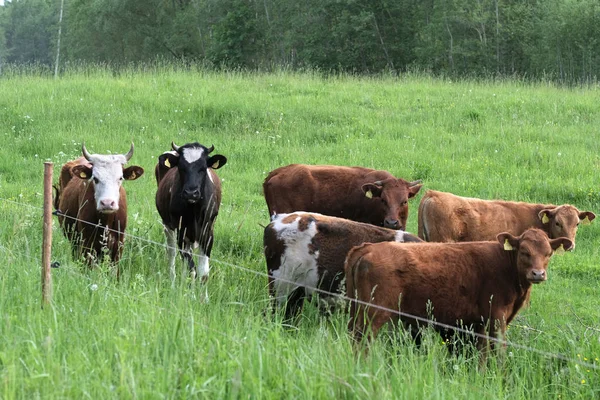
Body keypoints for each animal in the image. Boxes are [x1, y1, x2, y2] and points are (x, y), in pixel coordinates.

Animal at [155, 142, 227, 282]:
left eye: (203, 168)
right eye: (181, 167)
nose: (191, 193)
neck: (194, 211)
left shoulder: (208, 233)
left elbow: (203, 273)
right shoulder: (181, 232)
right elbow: (191, 268)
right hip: (167, 224)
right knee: (171, 252)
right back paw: (173, 279)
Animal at [344, 228, 576, 360]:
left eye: (548, 253)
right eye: (525, 252)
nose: (538, 274)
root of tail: (368, 248)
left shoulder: (480, 323)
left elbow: (482, 354)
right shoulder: (497, 318)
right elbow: (498, 352)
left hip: (356, 310)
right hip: (373, 314)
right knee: (362, 342)